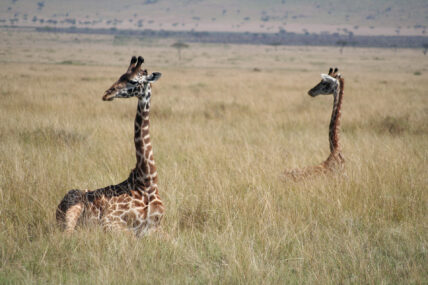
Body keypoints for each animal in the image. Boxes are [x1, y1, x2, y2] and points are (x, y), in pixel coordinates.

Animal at [56, 55, 164, 235]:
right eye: (121, 76)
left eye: (133, 81)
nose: (107, 94)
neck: (147, 181)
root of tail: (57, 207)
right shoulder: (110, 220)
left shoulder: (158, 228)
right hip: (73, 208)